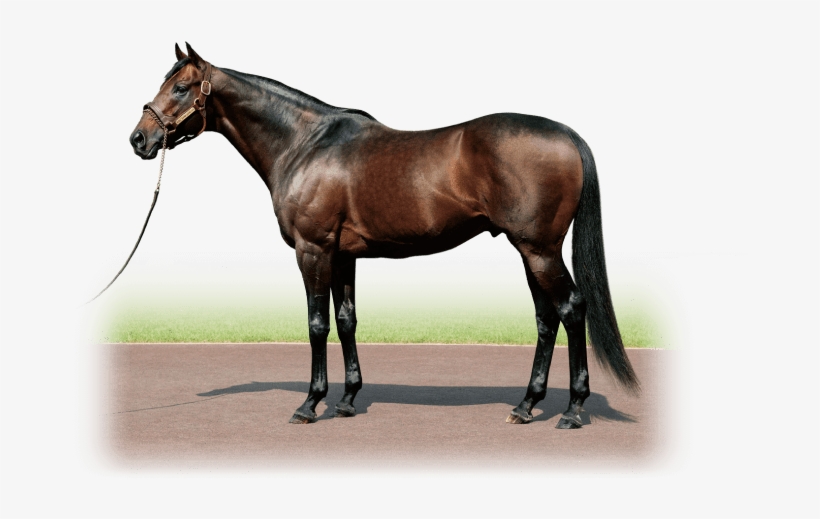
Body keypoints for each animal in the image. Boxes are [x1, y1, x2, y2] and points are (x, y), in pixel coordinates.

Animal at [129, 43, 639, 429]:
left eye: (179, 87)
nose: (139, 139)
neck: (304, 144)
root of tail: (567, 135)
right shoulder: (343, 255)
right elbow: (347, 320)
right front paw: (347, 400)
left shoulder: (313, 251)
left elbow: (317, 324)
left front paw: (309, 404)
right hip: (531, 251)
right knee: (546, 319)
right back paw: (526, 405)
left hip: (539, 250)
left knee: (571, 310)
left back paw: (572, 411)